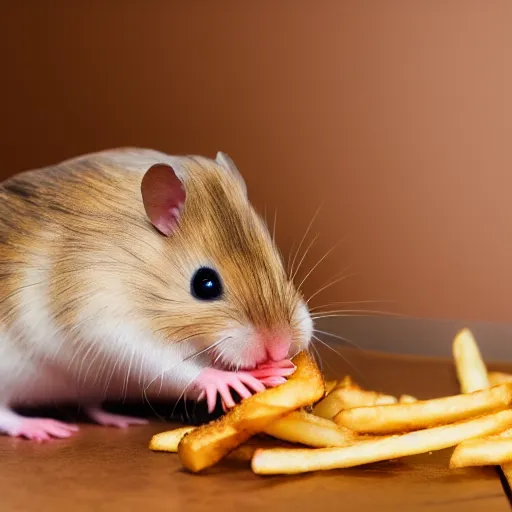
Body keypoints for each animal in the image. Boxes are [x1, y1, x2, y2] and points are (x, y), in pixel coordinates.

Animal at [0, 148, 312, 440]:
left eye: (278, 264)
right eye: (205, 284)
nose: (280, 348)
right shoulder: (111, 325)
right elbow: (173, 365)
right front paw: (231, 379)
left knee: (91, 405)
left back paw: (117, 418)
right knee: (6, 415)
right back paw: (41, 428)